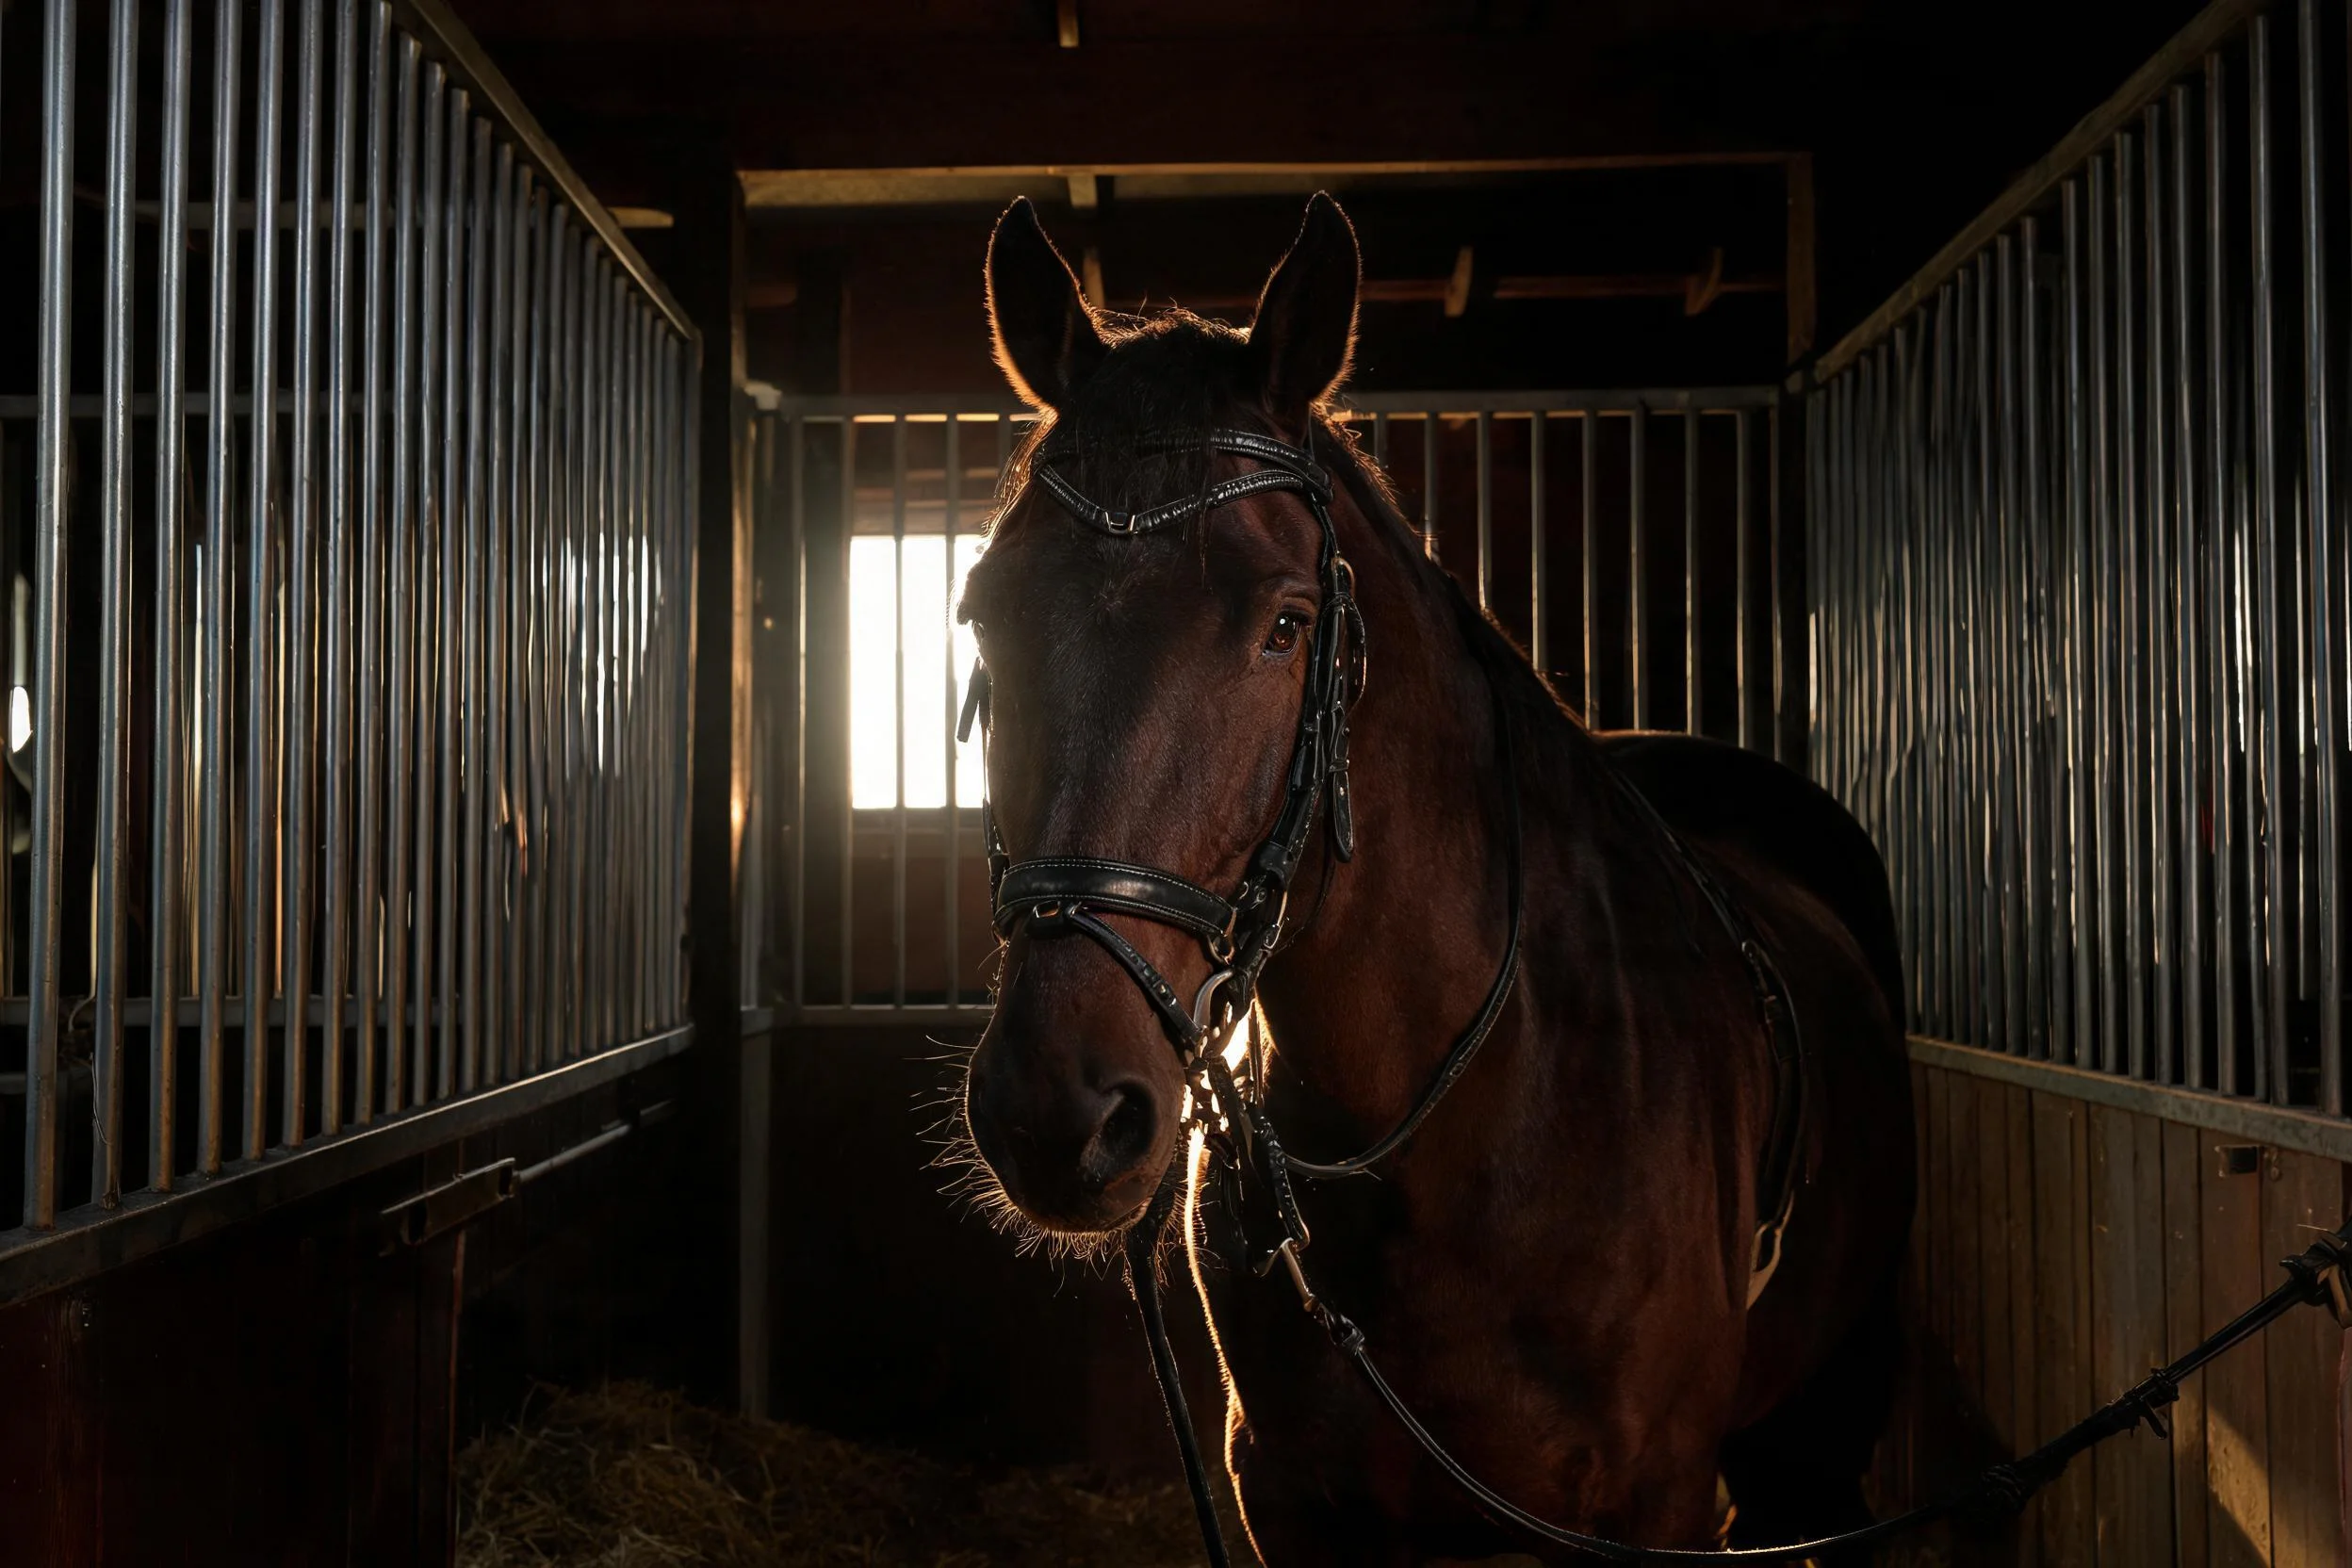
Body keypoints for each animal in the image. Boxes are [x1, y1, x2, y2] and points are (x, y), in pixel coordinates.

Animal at [955, 191, 1916, 1565]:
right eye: (984, 612)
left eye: (1288, 624)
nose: (1057, 1111)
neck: (1462, 1117)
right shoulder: (1290, 1502)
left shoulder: (1658, 1504)